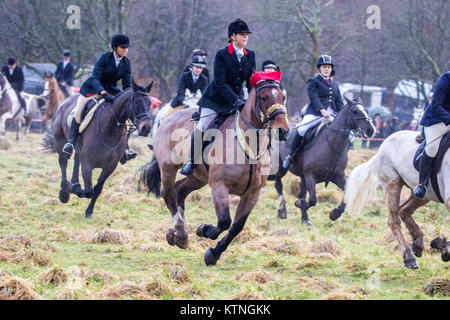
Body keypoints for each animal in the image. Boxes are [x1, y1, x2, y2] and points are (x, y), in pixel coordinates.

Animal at [52, 81, 153, 219]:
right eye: (136, 102)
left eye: (149, 102)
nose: (146, 128)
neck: (109, 129)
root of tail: (65, 101)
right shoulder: (87, 162)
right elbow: (89, 190)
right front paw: (74, 191)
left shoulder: (110, 166)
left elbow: (97, 189)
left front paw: (89, 211)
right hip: (61, 141)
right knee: (63, 162)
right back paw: (64, 192)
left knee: (76, 160)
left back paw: (75, 185)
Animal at [139, 77, 290, 264]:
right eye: (264, 98)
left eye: (283, 97)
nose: (282, 130)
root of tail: (167, 118)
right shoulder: (219, 186)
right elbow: (225, 221)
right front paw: (204, 230)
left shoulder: (252, 194)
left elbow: (236, 226)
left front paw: (214, 253)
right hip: (168, 167)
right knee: (168, 194)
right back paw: (181, 233)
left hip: (198, 177)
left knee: (179, 190)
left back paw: (177, 233)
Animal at [268, 97, 376, 225]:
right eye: (355, 111)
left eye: (367, 111)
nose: (370, 130)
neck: (333, 146)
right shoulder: (310, 176)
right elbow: (312, 200)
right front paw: (299, 204)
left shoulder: (337, 176)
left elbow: (346, 194)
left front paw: (335, 214)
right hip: (280, 168)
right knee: (278, 185)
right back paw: (282, 210)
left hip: (302, 177)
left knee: (299, 192)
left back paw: (305, 219)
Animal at [342, 129, 448, 268]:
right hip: (392, 184)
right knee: (394, 220)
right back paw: (409, 257)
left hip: (424, 194)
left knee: (404, 210)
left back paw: (418, 244)